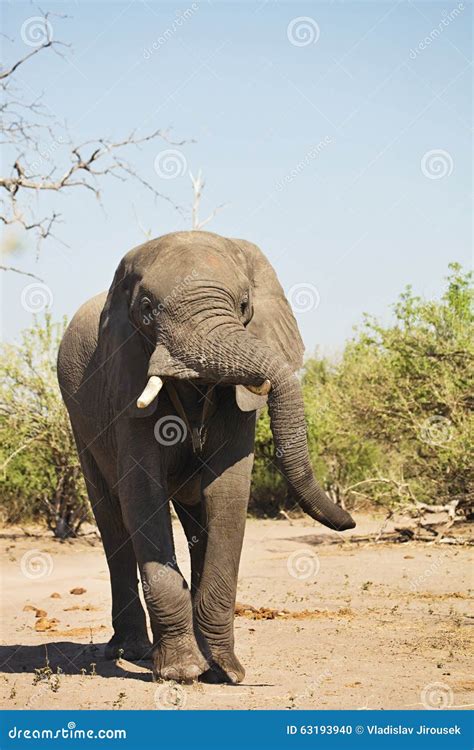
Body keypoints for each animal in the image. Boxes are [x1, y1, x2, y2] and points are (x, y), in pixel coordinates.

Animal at [57, 232, 354, 684]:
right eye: (146, 309)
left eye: (245, 304)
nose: (350, 521)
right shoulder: (125, 379)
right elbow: (142, 491)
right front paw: (180, 672)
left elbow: (227, 489)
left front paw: (225, 672)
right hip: (81, 423)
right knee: (112, 519)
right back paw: (131, 651)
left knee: (197, 521)